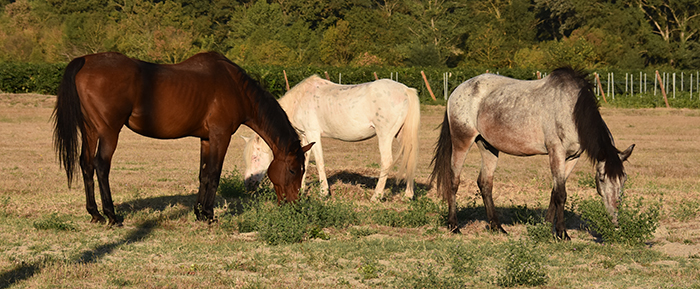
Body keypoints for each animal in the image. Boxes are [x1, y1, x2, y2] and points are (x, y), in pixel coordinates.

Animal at [51, 50, 308, 224]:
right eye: (293, 170)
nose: (294, 204)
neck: (236, 87)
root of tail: (85, 60)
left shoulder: (207, 139)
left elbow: (203, 174)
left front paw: (199, 212)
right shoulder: (221, 135)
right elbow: (214, 174)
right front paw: (209, 215)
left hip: (90, 131)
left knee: (86, 164)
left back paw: (95, 214)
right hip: (108, 132)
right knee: (101, 166)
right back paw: (112, 215)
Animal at [241, 74, 422, 200]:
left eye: (255, 157)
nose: (248, 185)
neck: (299, 99)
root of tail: (405, 90)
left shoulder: (313, 133)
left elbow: (319, 162)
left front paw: (323, 193)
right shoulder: (305, 136)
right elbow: (304, 161)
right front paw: (301, 189)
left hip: (385, 135)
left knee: (387, 161)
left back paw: (376, 196)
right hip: (401, 135)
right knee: (409, 159)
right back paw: (408, 195)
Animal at [430, 67, 636, 238]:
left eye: (624, 179)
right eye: (601, 178)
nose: (615, 219)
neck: (572, 110)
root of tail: (457, 90)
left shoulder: (573, 158)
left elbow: (555, 192)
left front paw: (546, 227)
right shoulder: (556, 152)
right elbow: (561, 194)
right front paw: (562, 233)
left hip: (488, 146)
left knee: (485, 183)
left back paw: (497, 227)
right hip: (462, 140)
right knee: (454, 180)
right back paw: (454, 226)